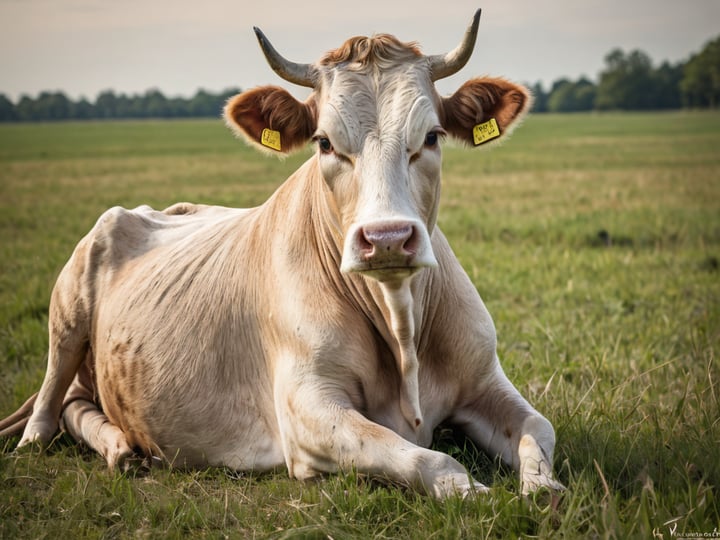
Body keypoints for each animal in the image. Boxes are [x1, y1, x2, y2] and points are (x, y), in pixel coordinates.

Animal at [0, 9, 564, 498]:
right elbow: (428, 460)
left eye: (432, 136)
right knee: (48, 412)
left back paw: (120, 444)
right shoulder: (309, 410)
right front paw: (474, 493)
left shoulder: (486, 379)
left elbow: (540, 429)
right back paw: (87, 445)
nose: (386, 237)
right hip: (67, 320)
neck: (401, 326)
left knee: (76, 405)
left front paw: (544, 489)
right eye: (323, 142)